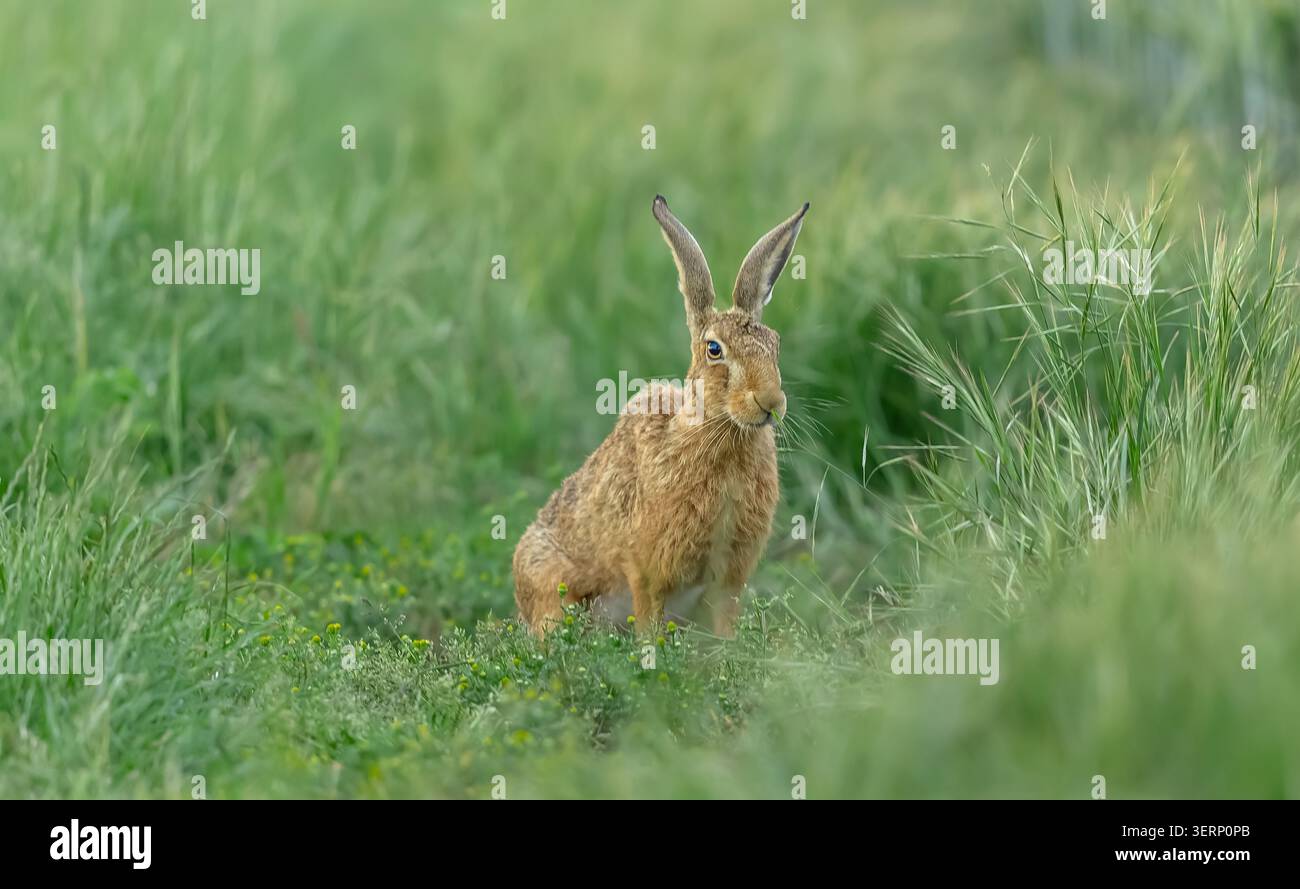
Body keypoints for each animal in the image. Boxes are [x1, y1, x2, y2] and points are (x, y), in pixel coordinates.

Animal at [513, 195, 808, 637]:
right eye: (714, 350)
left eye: (776, 343)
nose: (772, 402)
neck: (716, 431)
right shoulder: (646, 574)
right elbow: (649, 623)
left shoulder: (727, 582)